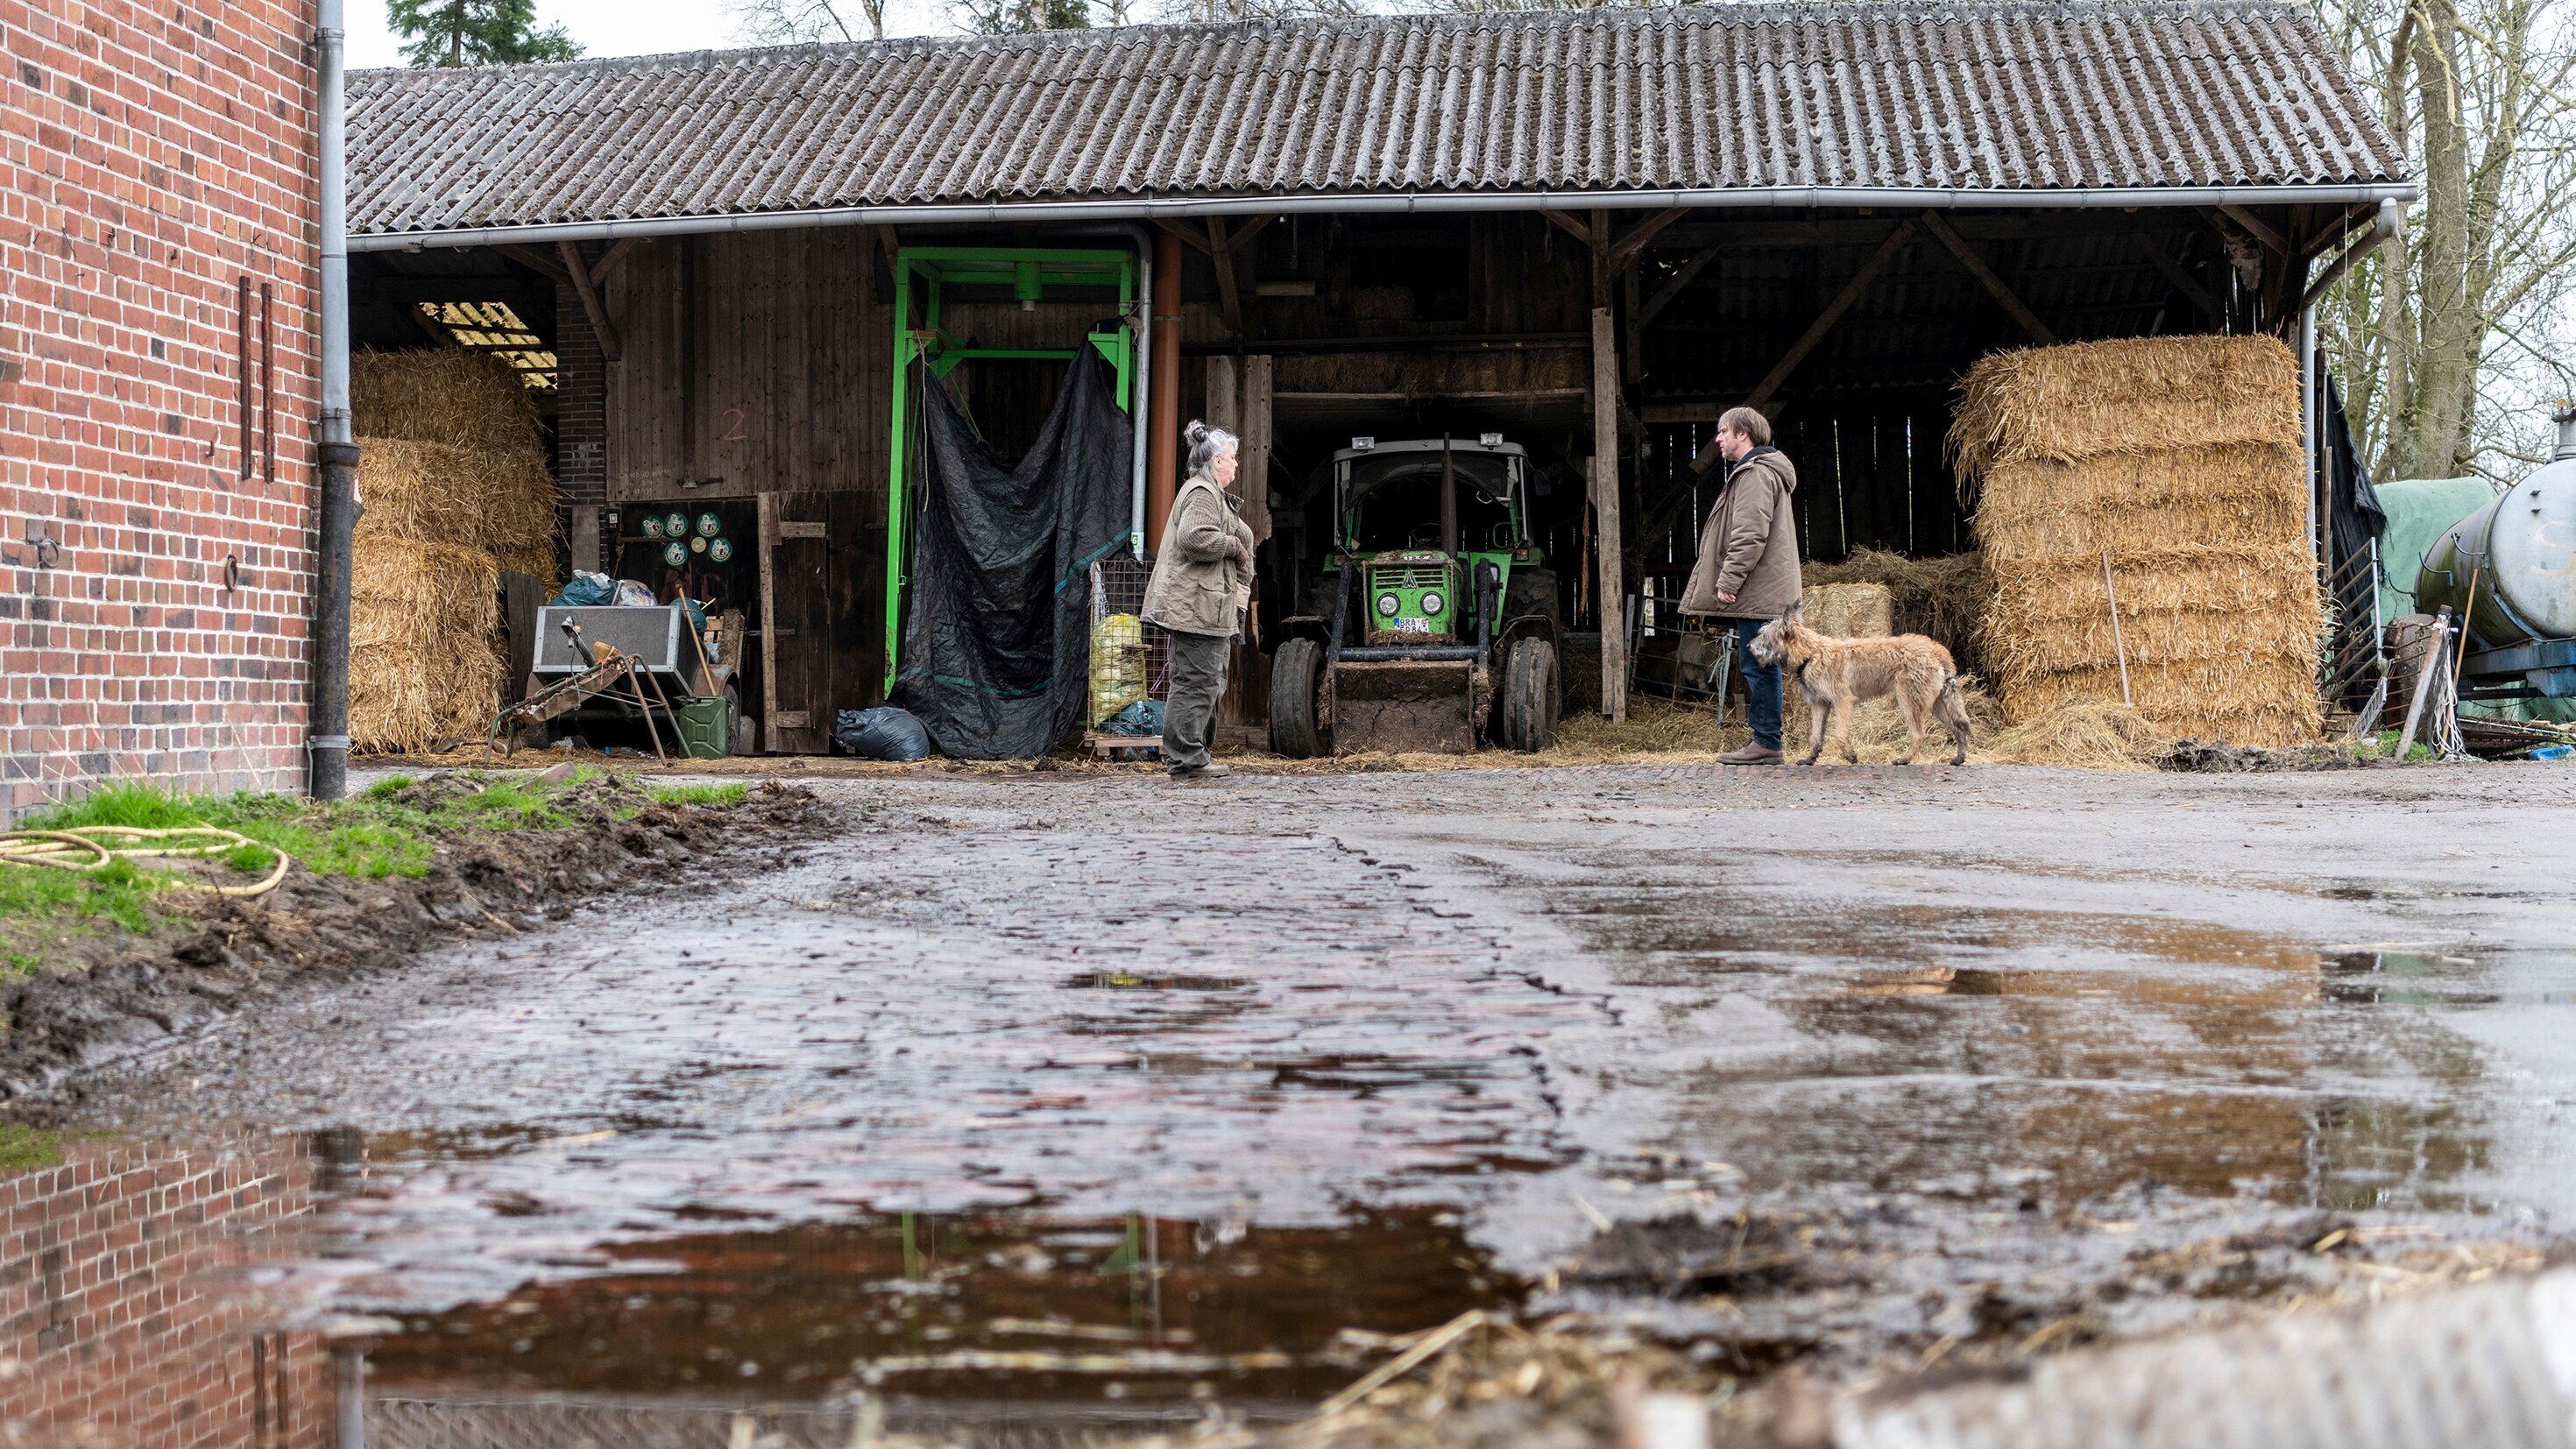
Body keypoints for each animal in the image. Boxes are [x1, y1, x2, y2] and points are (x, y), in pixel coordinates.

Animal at [1752, 607, 1968, 767]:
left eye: (1764, 636)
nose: (1748, 646)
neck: (1812, 654)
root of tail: (1936, 649)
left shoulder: (1842, 702)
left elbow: (1839, 735)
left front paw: (1850, 756)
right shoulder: (1819, 705)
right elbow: (1815, 737)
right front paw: (1810, 759)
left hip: (1909, 703)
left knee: (1919, 735)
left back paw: (1904, 759)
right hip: (1937, 706)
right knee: (1958, 729)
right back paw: (1959, 758)